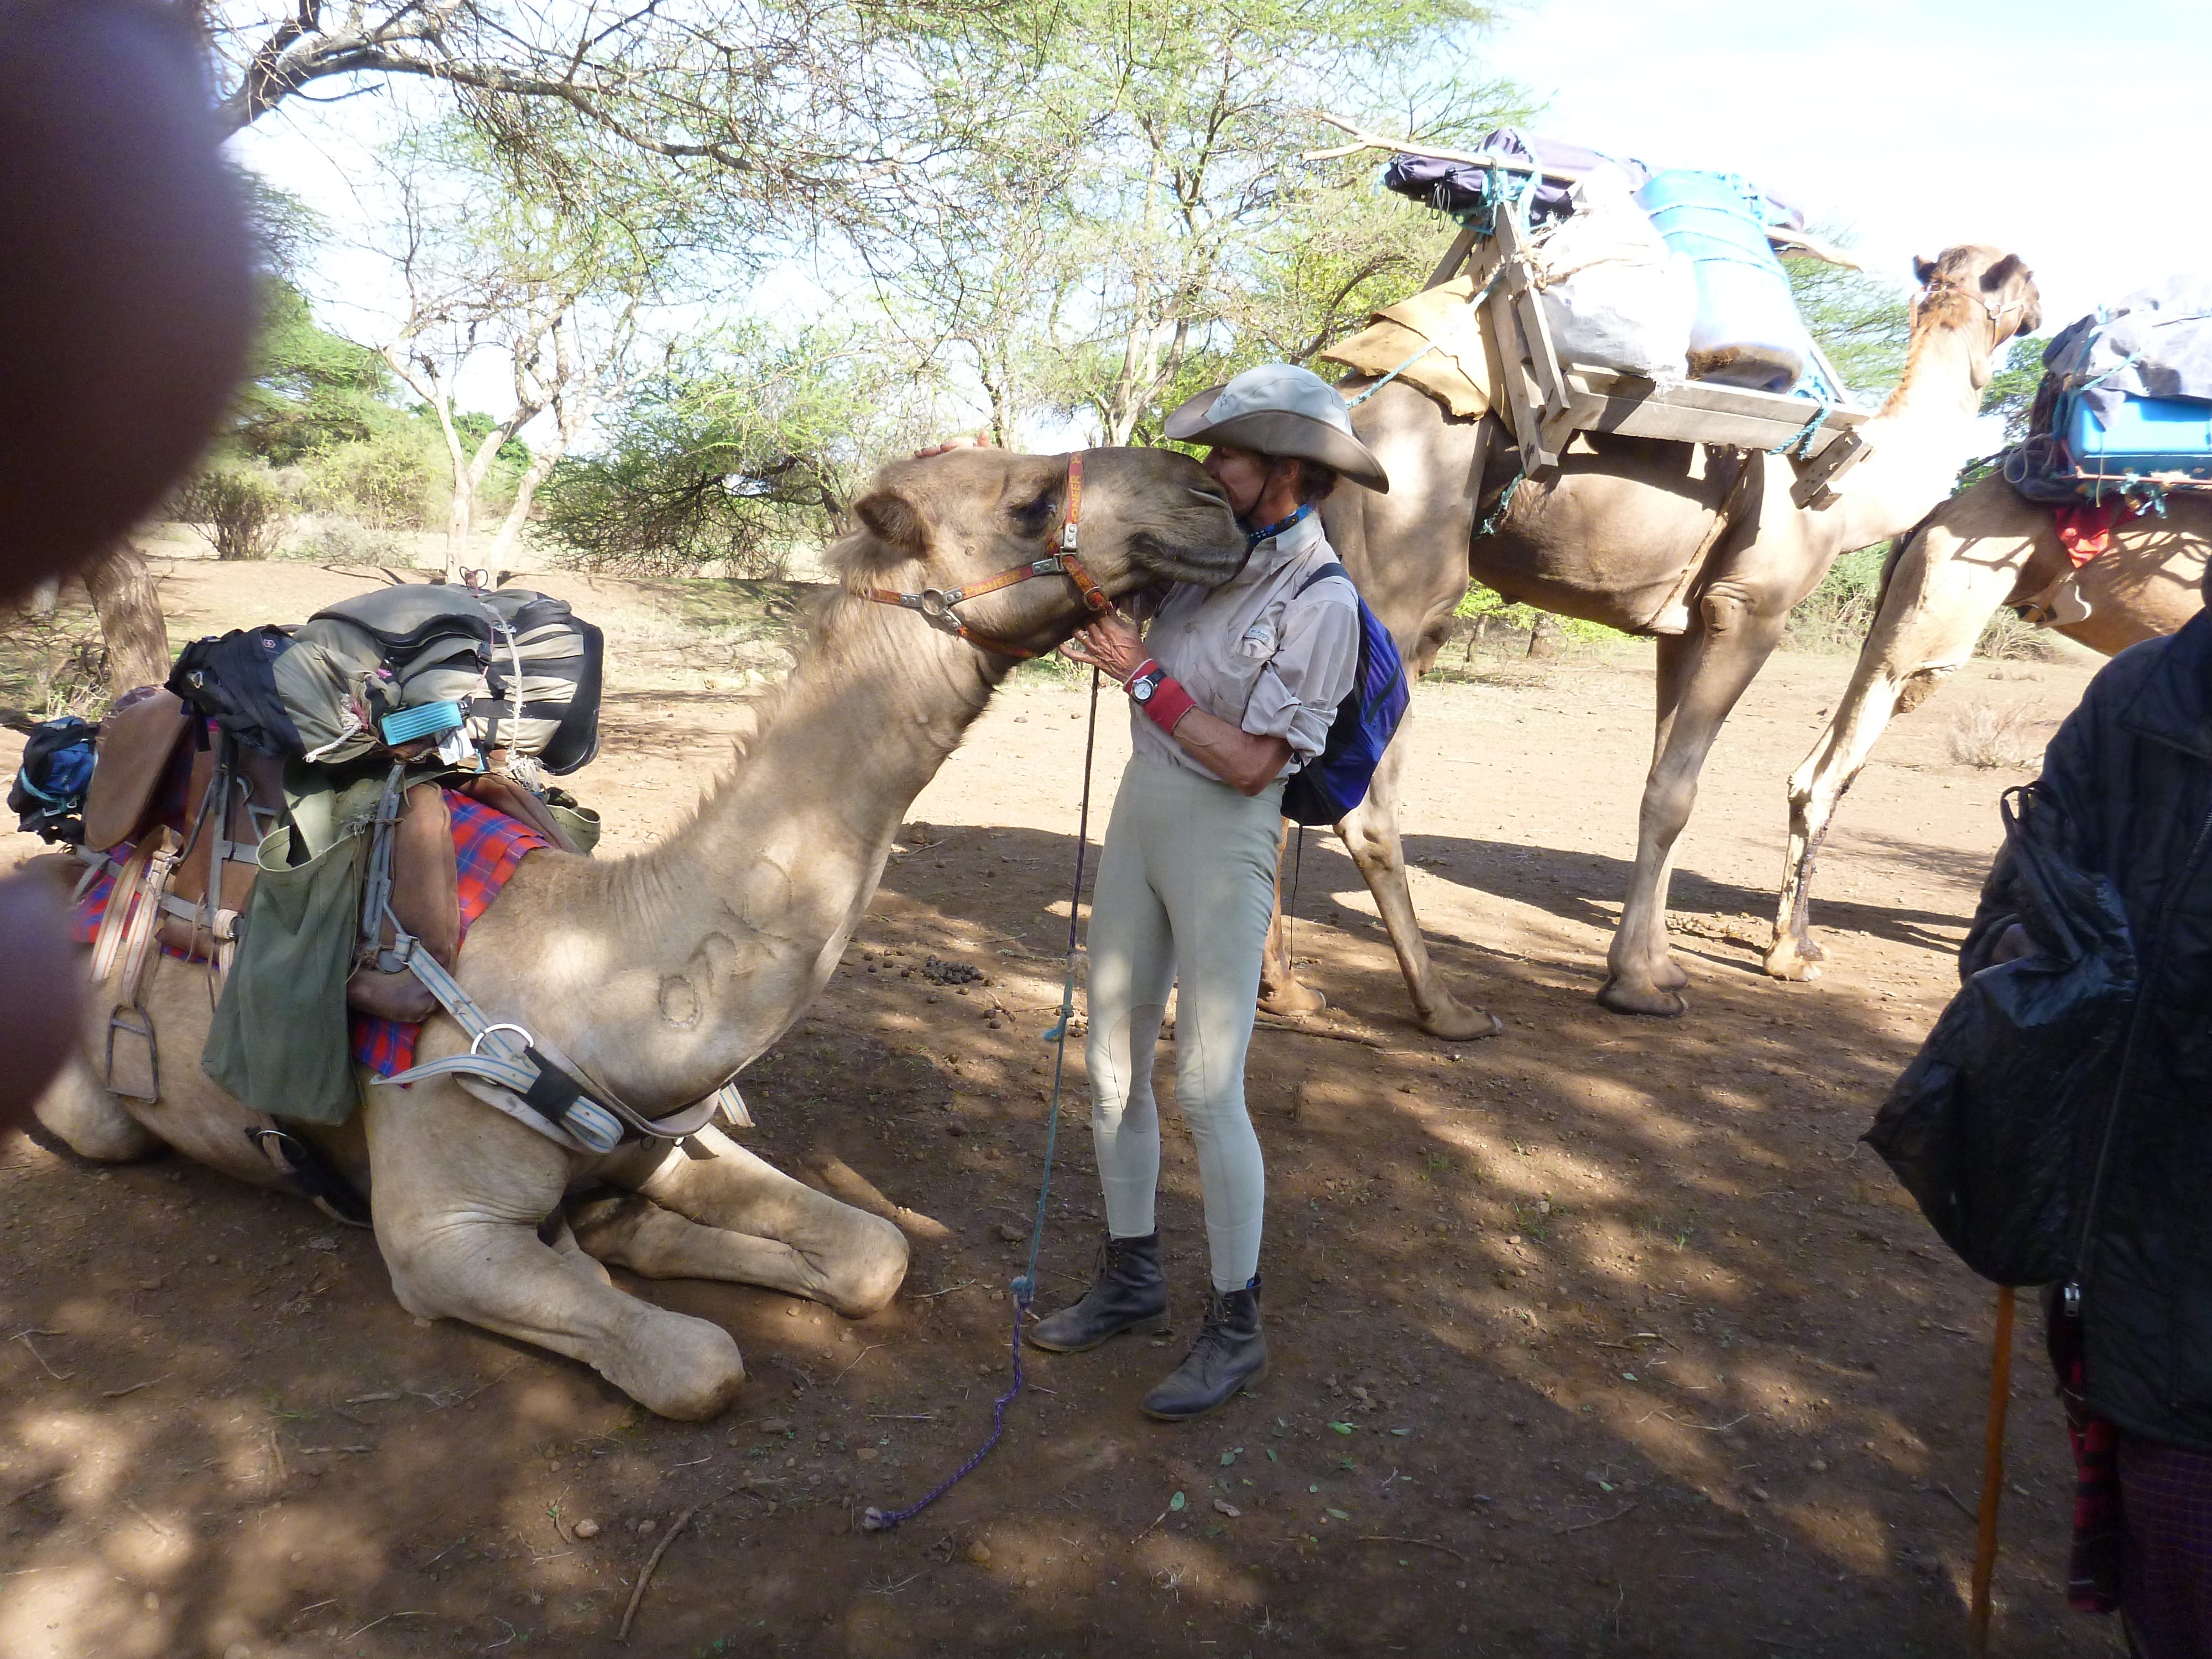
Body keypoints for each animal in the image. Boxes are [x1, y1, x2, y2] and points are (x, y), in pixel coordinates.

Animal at [30, 449, 1248, 1425]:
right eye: (1030, 503)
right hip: (96, 1112)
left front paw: (622, 1229)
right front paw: (610, 1250)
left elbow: (879, 1251)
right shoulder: (436, 1235)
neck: (590, 975)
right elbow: (700, 1363)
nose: (1213, 497)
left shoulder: (669, 1131)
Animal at [1265, 246, 2035, 1026]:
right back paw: (1444, 1005)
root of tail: (1345, 403)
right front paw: (1643, 985)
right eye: (2025, 282)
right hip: (1407, 573)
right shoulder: (1751, 606)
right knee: (1362, 784)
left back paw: (1286, 988)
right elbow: (1676, 794)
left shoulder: (1685, 624)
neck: (1851, 488)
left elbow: (1662, 781)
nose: (2037, 319)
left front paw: (1660, 968)